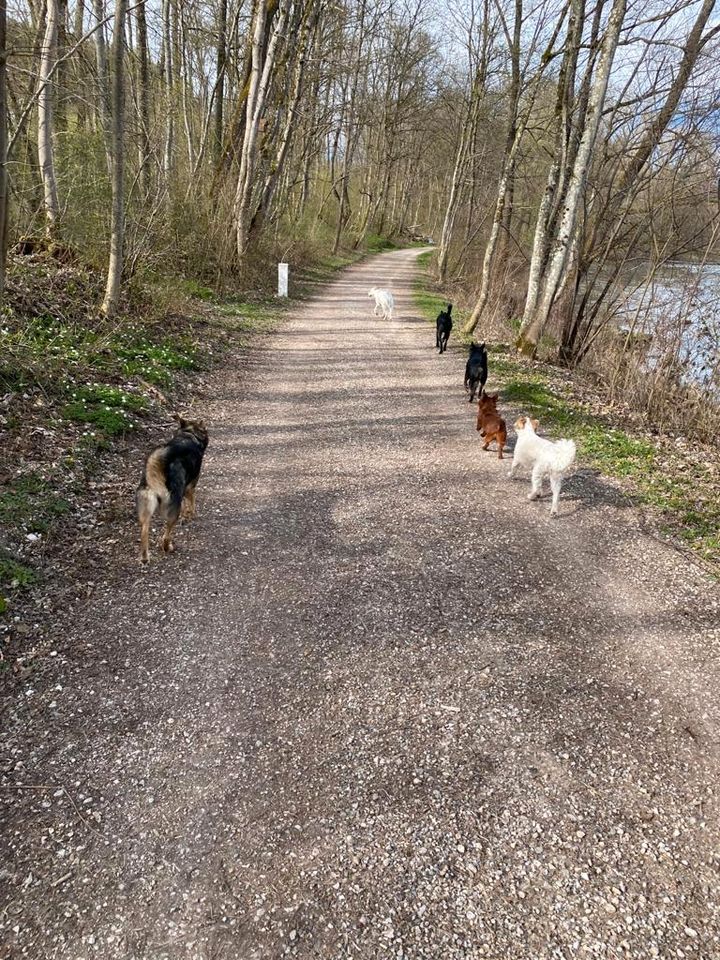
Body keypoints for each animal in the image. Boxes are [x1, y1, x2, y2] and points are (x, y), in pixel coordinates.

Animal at [136, 414, 208, 564]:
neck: (188, 434)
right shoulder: (190, 487)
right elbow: (191, 503)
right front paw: (190, 515)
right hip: (173, 508)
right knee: (166, 535)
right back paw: (168, 547)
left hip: (146, 505)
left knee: (145, 530)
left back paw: (145, 557)